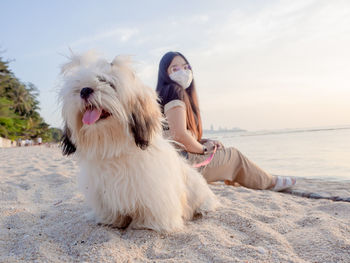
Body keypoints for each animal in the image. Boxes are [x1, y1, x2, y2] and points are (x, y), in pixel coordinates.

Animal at [60, 51, 219, 233]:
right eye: (78, 85)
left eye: (108, 83)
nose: (85, 90)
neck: (114, 147)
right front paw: (111, 220)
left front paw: (146, 223)